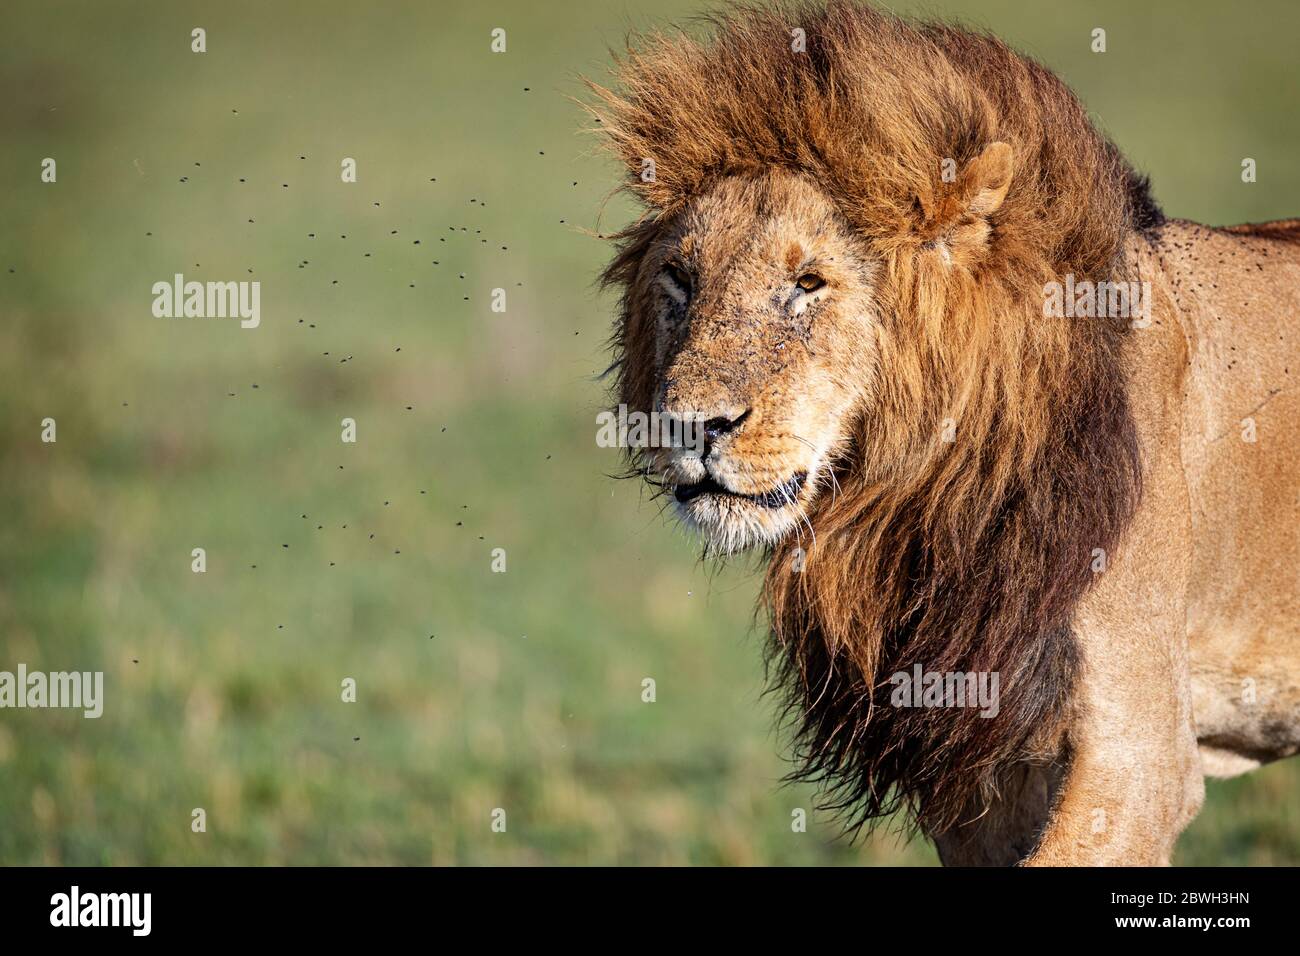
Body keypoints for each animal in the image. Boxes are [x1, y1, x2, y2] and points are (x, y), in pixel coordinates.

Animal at [589, 1, 1300, 865]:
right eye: (681, 279)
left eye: (808, 283)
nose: (689, 424)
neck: (923, 499)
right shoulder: (978, 779)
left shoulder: (1139, 760)